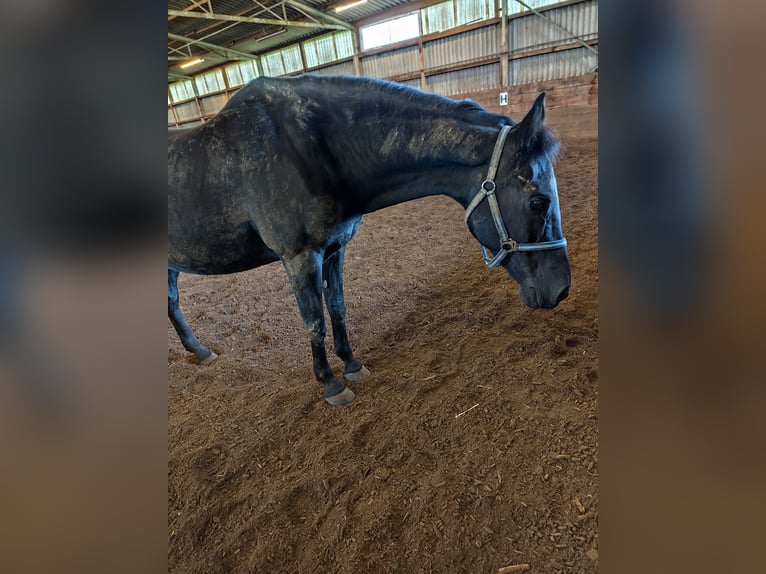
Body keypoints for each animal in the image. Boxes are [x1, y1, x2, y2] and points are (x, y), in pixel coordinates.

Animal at [168, 74, 570, 406]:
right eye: (539, 201)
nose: (562, 289)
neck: (307, 151)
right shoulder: (299, 257)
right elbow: (314, 320)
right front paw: (330, 384)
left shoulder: (335, 249)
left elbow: (337, 308)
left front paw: (351, 364)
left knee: (173, 304)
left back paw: (200, 351)